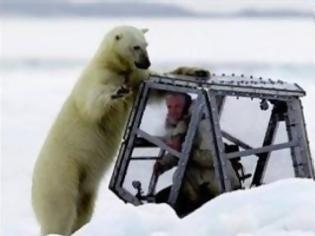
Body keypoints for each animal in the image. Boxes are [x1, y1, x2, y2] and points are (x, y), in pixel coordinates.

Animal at [32, 24, 210, 235]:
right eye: (135, 47)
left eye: (146, 44)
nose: (146, 62)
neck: (113, 65)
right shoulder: (98, 78)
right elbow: (93, 105)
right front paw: (117, 92)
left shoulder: (135, 77)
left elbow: (158, 86)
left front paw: (198, 71)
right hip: (62, 173)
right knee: (60, 210)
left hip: (84, 185)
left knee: (84, 208)